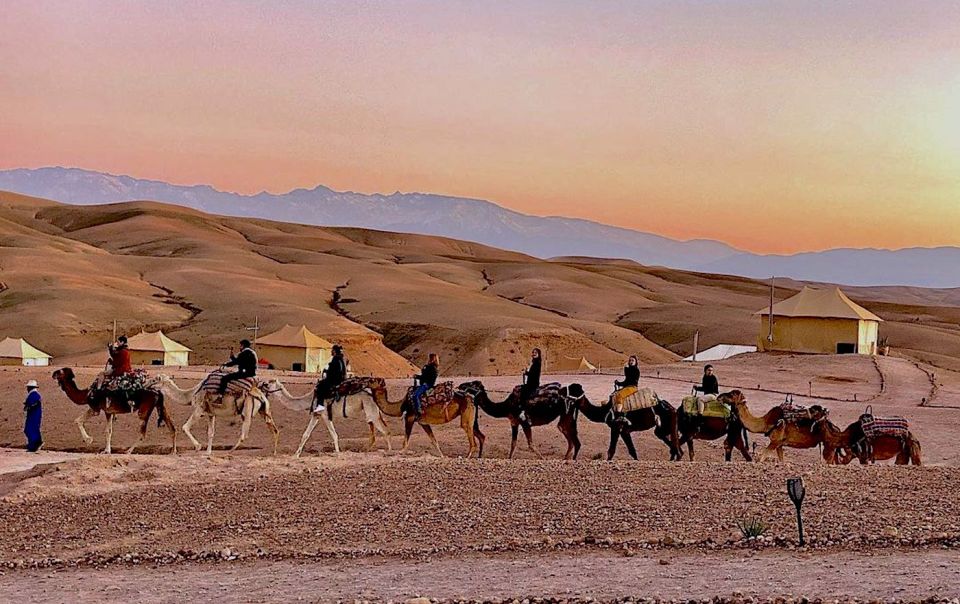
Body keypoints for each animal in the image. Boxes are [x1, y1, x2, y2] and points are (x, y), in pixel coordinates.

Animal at [258, 378, 394, 458]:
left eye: (267, 384)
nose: (260, 385)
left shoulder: (324, 414)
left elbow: (334, 434)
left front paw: (338, 453)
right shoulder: (316, 415)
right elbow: (305, 435)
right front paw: (296, 455)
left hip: (371, 409)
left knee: (385, 430)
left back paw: (390, 452)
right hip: (370, 409)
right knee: (375, 428)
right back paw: (366, 450)